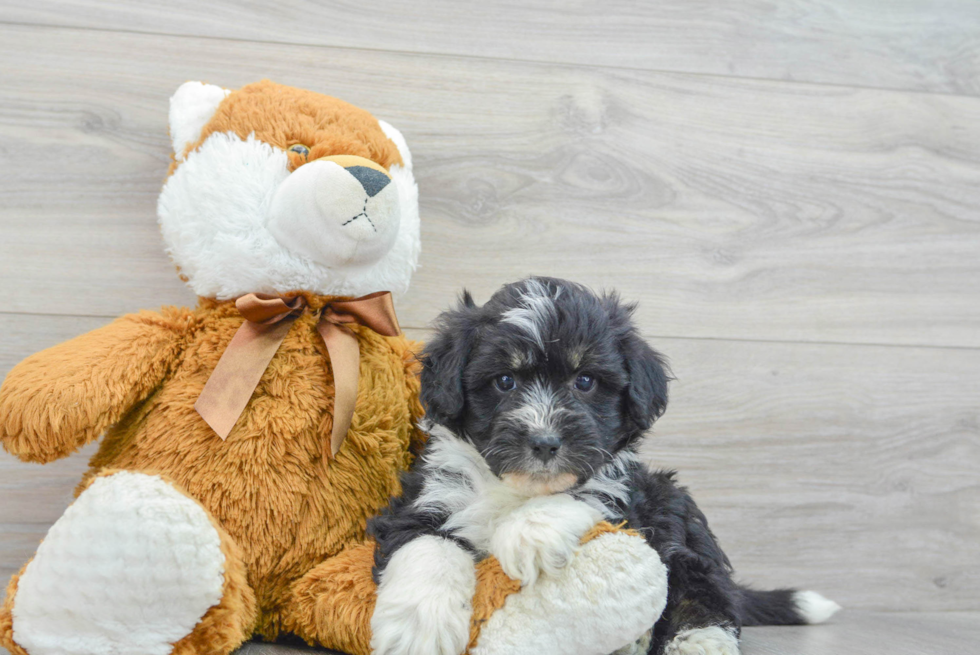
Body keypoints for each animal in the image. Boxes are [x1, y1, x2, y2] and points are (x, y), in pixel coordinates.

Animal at [366, 278, 836, 655]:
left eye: (586, 381)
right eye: (505, 381)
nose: (545, 442)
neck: (518, 489)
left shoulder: (627, 497)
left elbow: (584, 494)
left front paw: (527, 534)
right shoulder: (426, 496)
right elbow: (426, 545)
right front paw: (418, 626)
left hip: (679, 517)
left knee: (705, 592)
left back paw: (697, 643)